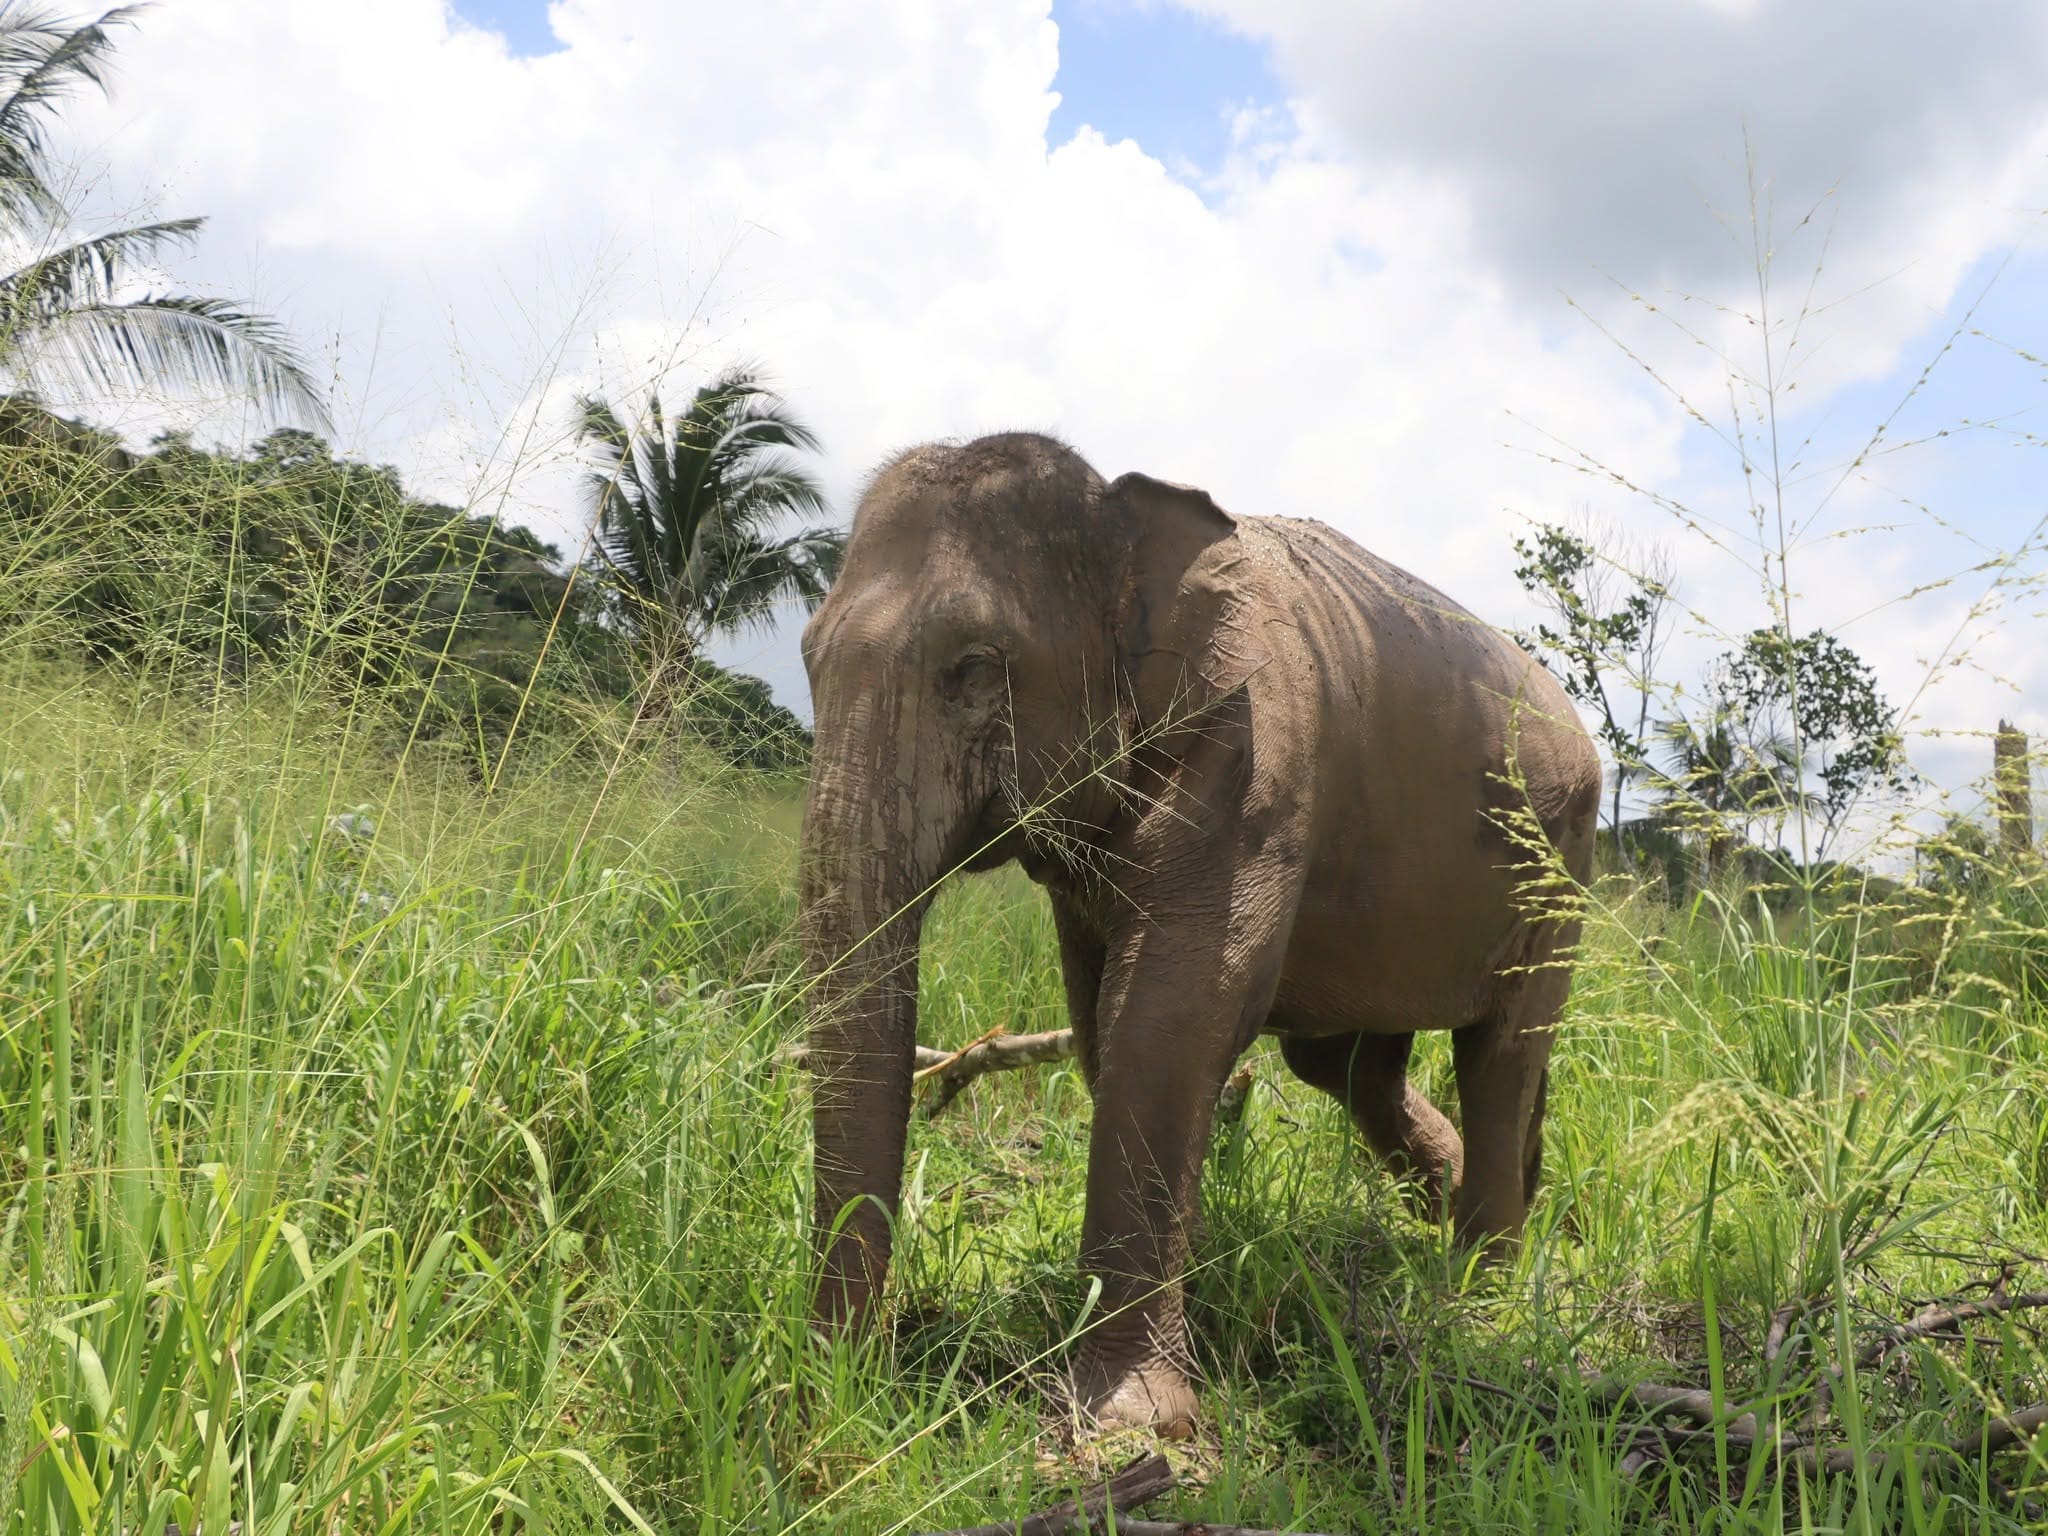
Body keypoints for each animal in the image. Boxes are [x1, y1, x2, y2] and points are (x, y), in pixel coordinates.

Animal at [798, 433, 1601, 1435]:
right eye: (806, 661)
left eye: (975, 666)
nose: (857, 1379)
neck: (1123, 513)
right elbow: (1103, 1027)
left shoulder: (1257, 761)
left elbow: (1168, 1018)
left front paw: (1130, 1420)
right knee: (1347, 1069)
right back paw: (1439, 1225)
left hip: (1561, 865)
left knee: (1503, 1054)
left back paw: (1477, 1295)